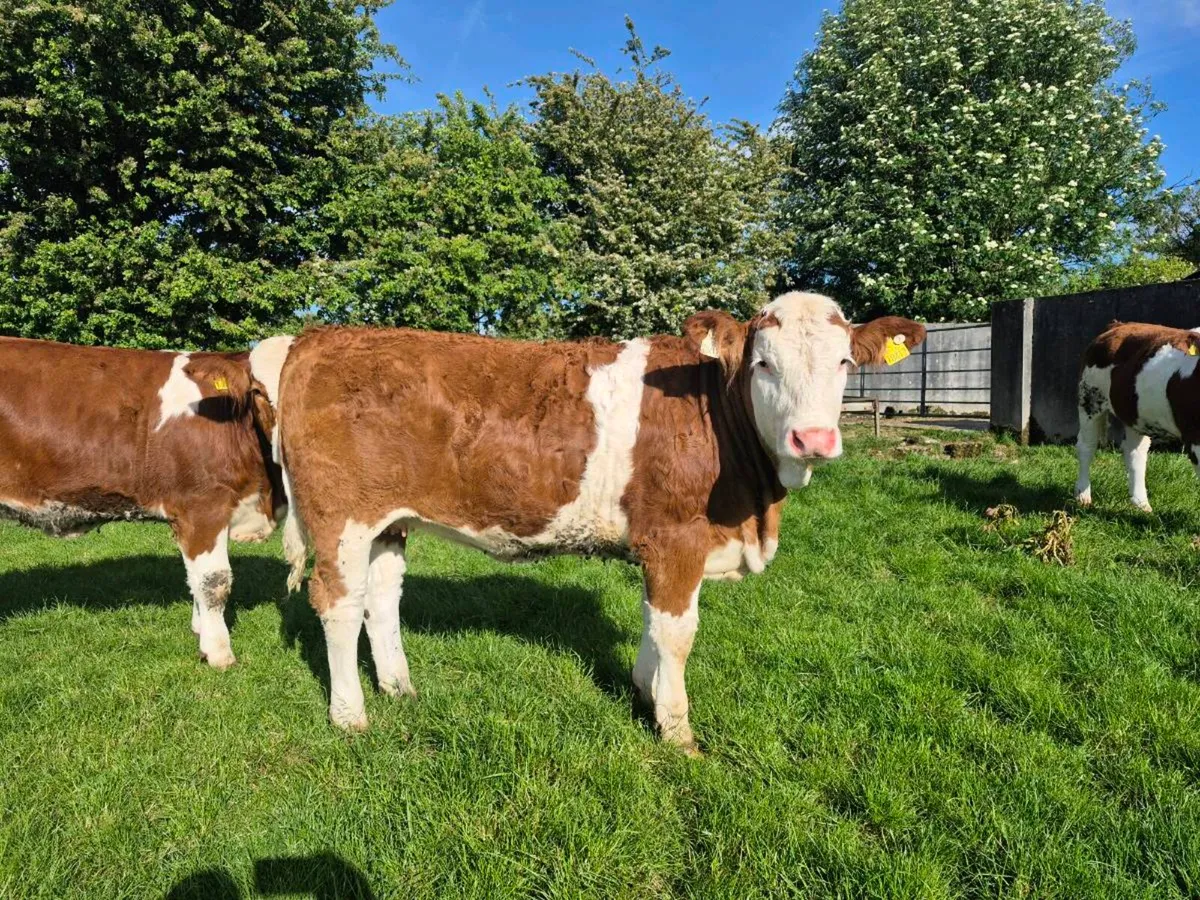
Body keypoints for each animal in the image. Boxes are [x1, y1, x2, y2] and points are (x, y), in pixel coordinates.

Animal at [0, 336, 290, 668]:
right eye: (258, 391)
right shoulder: (202, 506)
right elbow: (213, 582)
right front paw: (218, 652)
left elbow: (195, 579)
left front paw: (199, 629)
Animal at [264, 292, 925, 750]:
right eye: (763, 363)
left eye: (844, 361)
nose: (813, 439)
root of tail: (316, 337)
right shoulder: (676, 538)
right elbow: (678, 632)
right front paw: (677, 731)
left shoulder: (662, 546)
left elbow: (653, 623)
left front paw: (642, 687)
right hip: (342, 517)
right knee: (338, 603)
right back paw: (351, 715)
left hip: (389, 520)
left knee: (382, 597)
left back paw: (399, 688)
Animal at [1075, 321, 1200, 512]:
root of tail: (1119, 325)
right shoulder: (1194, 437)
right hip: (1090, 399)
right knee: (1086, 446)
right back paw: (1083, 496)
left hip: (1135, 415)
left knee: (1135, 453)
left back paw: (1141, 504)